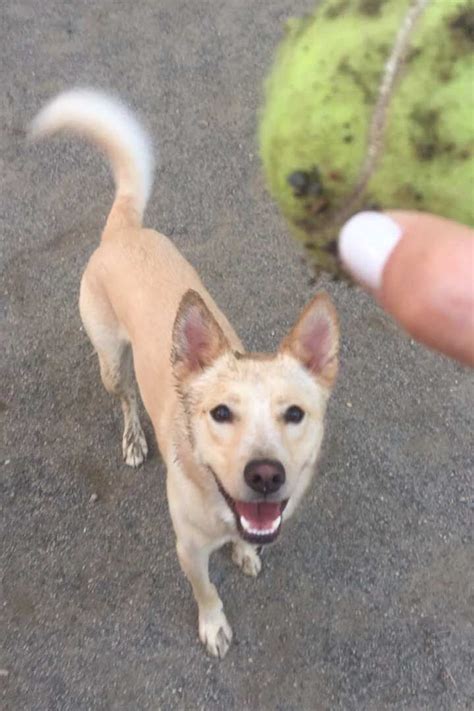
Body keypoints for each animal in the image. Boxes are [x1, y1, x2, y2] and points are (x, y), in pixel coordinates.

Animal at [30, 92, 340, 660]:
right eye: (220, 413)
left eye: (294, 414)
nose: (266, 475)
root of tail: (125, 229)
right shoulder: (188, 550)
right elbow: (207, 590)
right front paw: (213, 626)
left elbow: (242, 541)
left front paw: (244, 552)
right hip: (109, 359)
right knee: (126, 397)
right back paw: (133, 439)